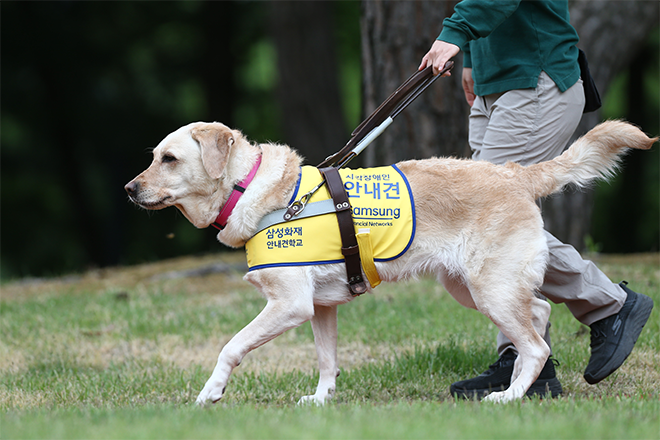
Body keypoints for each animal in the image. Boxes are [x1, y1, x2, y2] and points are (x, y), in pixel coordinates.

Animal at [125, 118, 656, 404]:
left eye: (169, 159)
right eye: (153, 156)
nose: (129, 189)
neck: (252, 188)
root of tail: (513, 173)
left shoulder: (289, 306)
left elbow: (230, 347)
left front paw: (210, 394)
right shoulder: (320, 309)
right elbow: (327, 361)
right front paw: (320, 401)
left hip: (490, 289)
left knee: (536, 343)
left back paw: (508, 396)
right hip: (473, 287)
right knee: (540, 315)